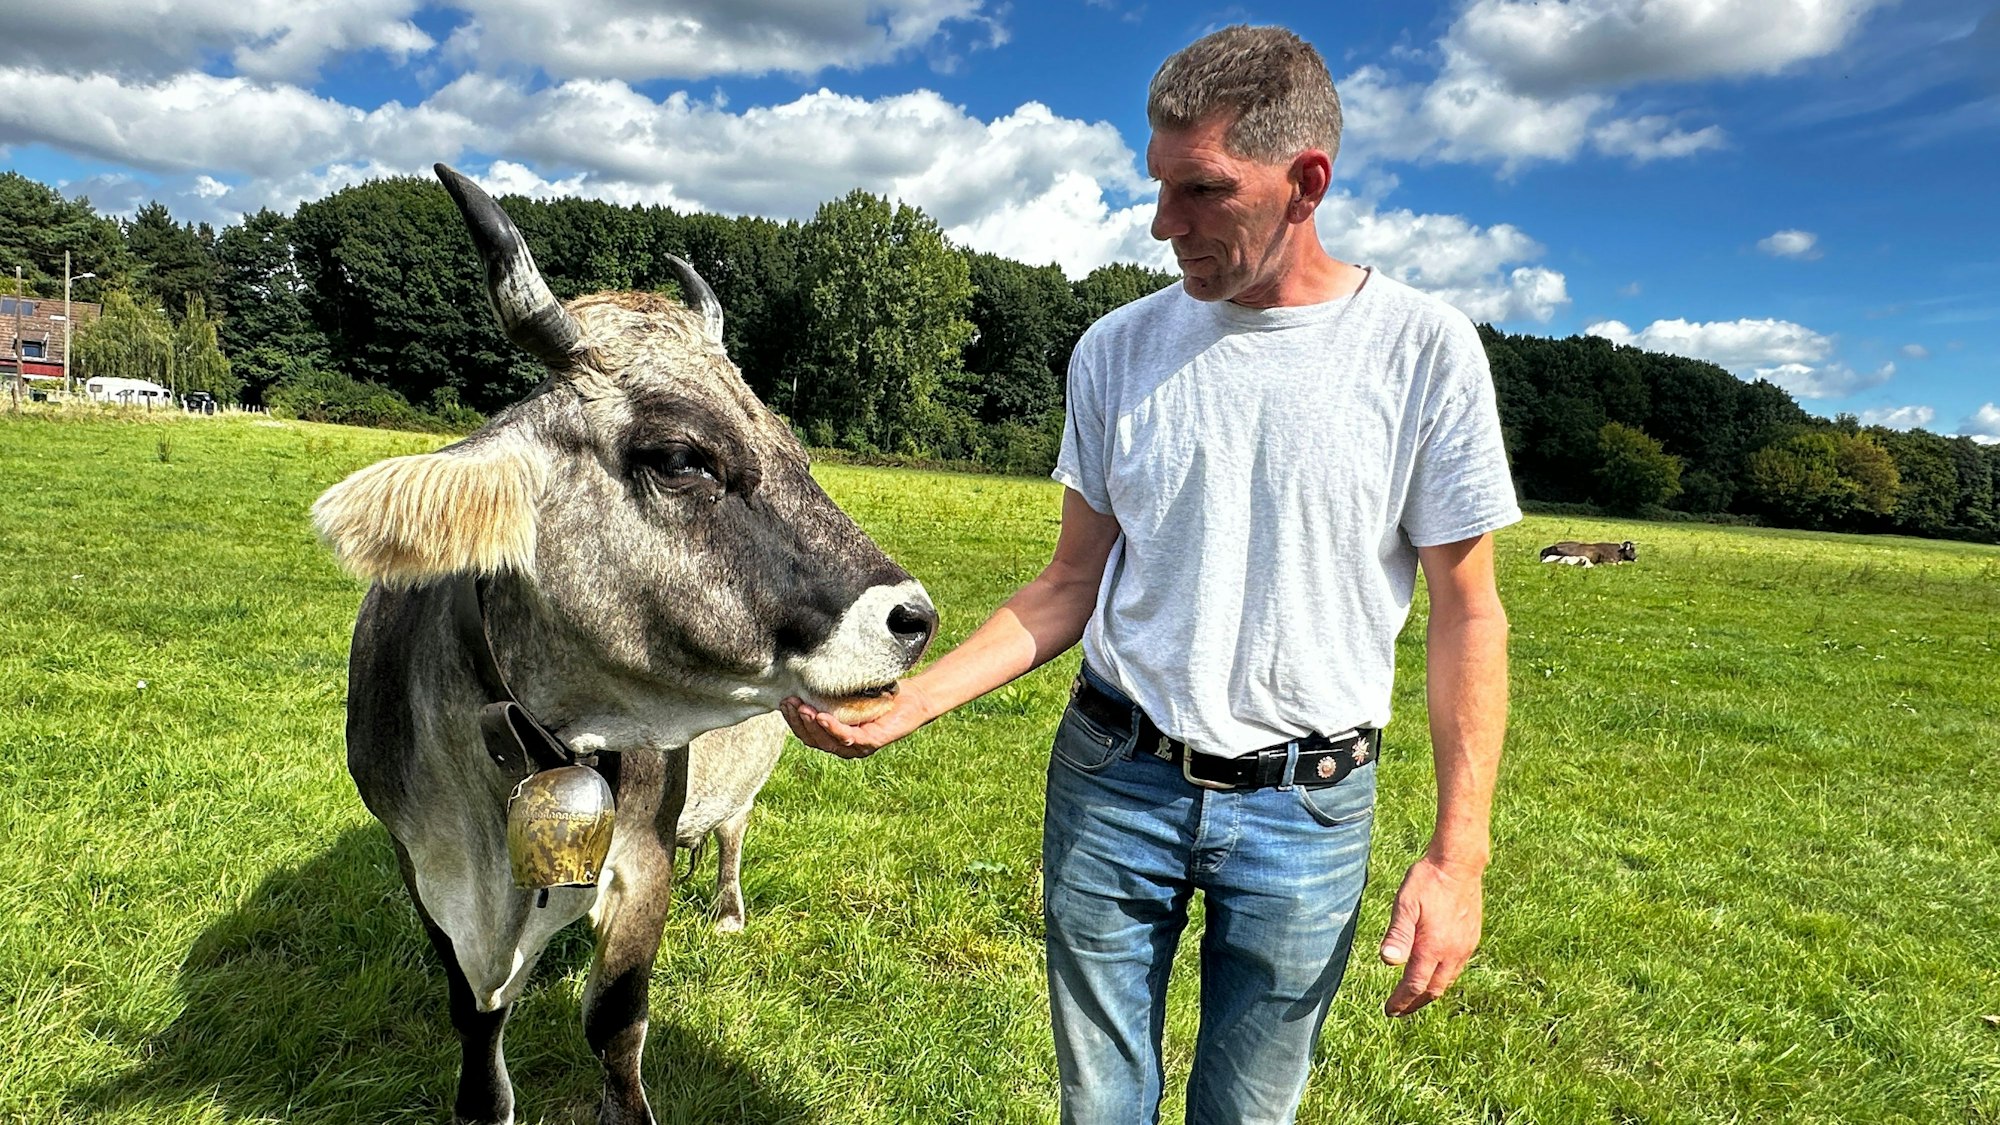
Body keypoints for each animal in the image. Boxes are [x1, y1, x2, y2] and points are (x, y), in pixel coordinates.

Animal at [312, 164, 936, 1125]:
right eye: (680, 457)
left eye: (792, 447)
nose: (914, 618)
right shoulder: (421, 867)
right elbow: (472, 1016)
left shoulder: (644, 860)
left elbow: (615, 1018)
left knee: (731, 831)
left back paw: (726, 906)